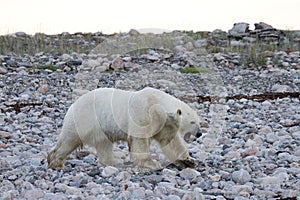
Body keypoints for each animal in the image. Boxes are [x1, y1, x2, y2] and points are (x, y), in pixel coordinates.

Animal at [47, 86, 200, 170]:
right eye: (193, 122)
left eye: (199, 121)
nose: (199, 133)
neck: (157, 104)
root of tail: (74, 104)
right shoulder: (143, 113)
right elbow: (140, 139)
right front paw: (152, 163)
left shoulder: (165, 123)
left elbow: (170, 142)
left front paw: (188, 160)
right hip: (84, 118)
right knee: (70, 140)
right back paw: (55, 162)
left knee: (104, 144)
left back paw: (113, 161)